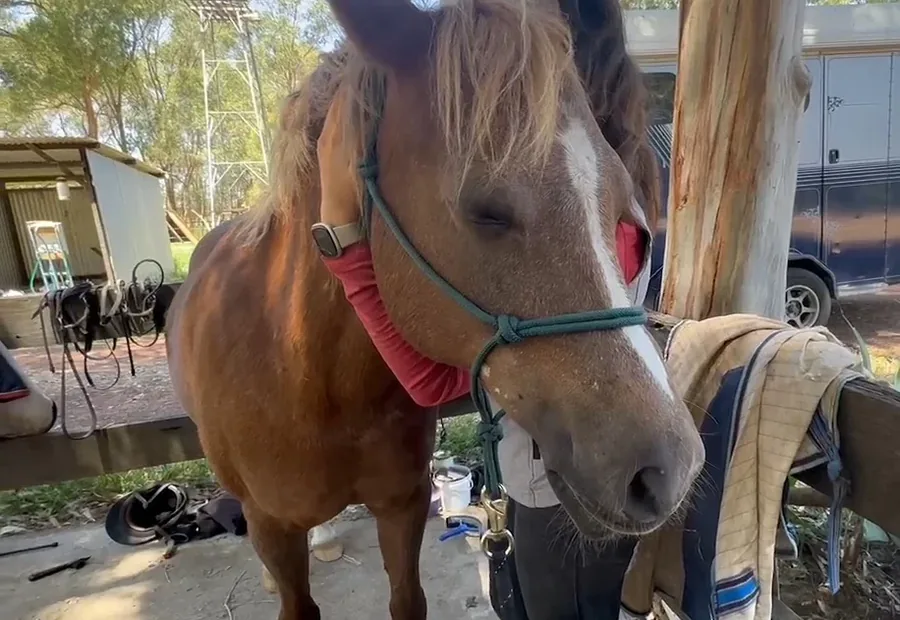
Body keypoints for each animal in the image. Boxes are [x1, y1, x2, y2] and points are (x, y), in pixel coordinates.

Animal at [165, 1, 705, 618]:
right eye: (485, 210)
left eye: (624, 214)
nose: (670, 470)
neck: (308, 375)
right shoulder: (273, 525)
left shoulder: (402, 506)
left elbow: (408, 598)